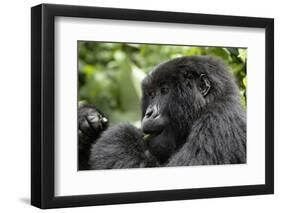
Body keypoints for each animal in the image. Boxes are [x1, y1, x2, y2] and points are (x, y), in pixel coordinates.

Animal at [79, 55, 245, 171]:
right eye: (152, 94)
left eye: (164, 90)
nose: (149, 113)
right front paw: (85, 118)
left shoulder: (218, 124)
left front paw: (120, 135)